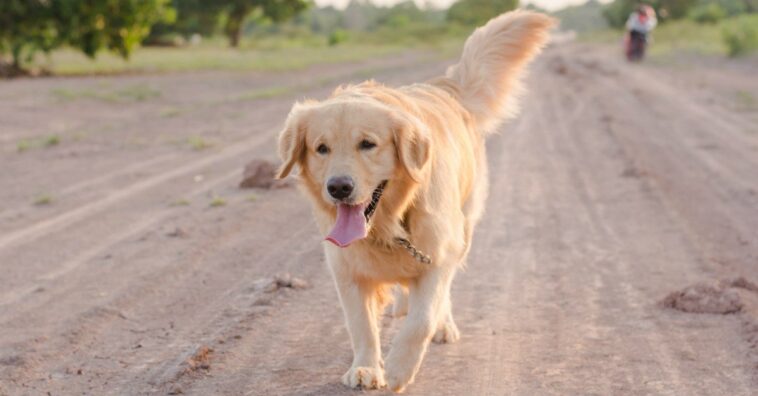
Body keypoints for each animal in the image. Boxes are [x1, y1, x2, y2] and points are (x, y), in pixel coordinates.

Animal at [276, 10, 556, 392]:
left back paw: (442, 325)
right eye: (321, 148)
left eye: (368, 144)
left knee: (443, 295)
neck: (390, 221)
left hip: (464, 230)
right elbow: (360, 324)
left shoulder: (438, 255)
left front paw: (398, 369)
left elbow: (422, 320)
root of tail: (444, 87)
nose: (339, 187)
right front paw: (366, 367)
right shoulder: (346, 268)